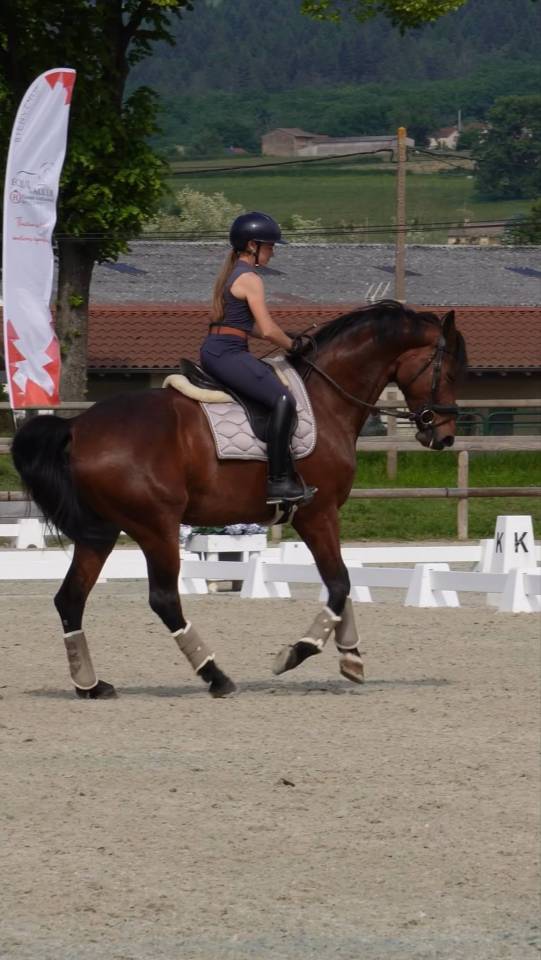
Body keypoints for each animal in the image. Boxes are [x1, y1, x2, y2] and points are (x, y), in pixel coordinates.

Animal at [11, 300, 467, 700]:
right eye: (447, 369)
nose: (444, 436)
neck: (327, 398)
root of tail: (77, 428)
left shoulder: (323, 516)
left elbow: (339, 582)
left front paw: (351, 657)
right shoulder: (316, 514)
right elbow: (338, 583)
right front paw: (296, 653)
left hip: (100, 532)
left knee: (70, 598)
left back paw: (90, 685)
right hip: (156, 526)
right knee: (163, 599)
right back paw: (216, 676)